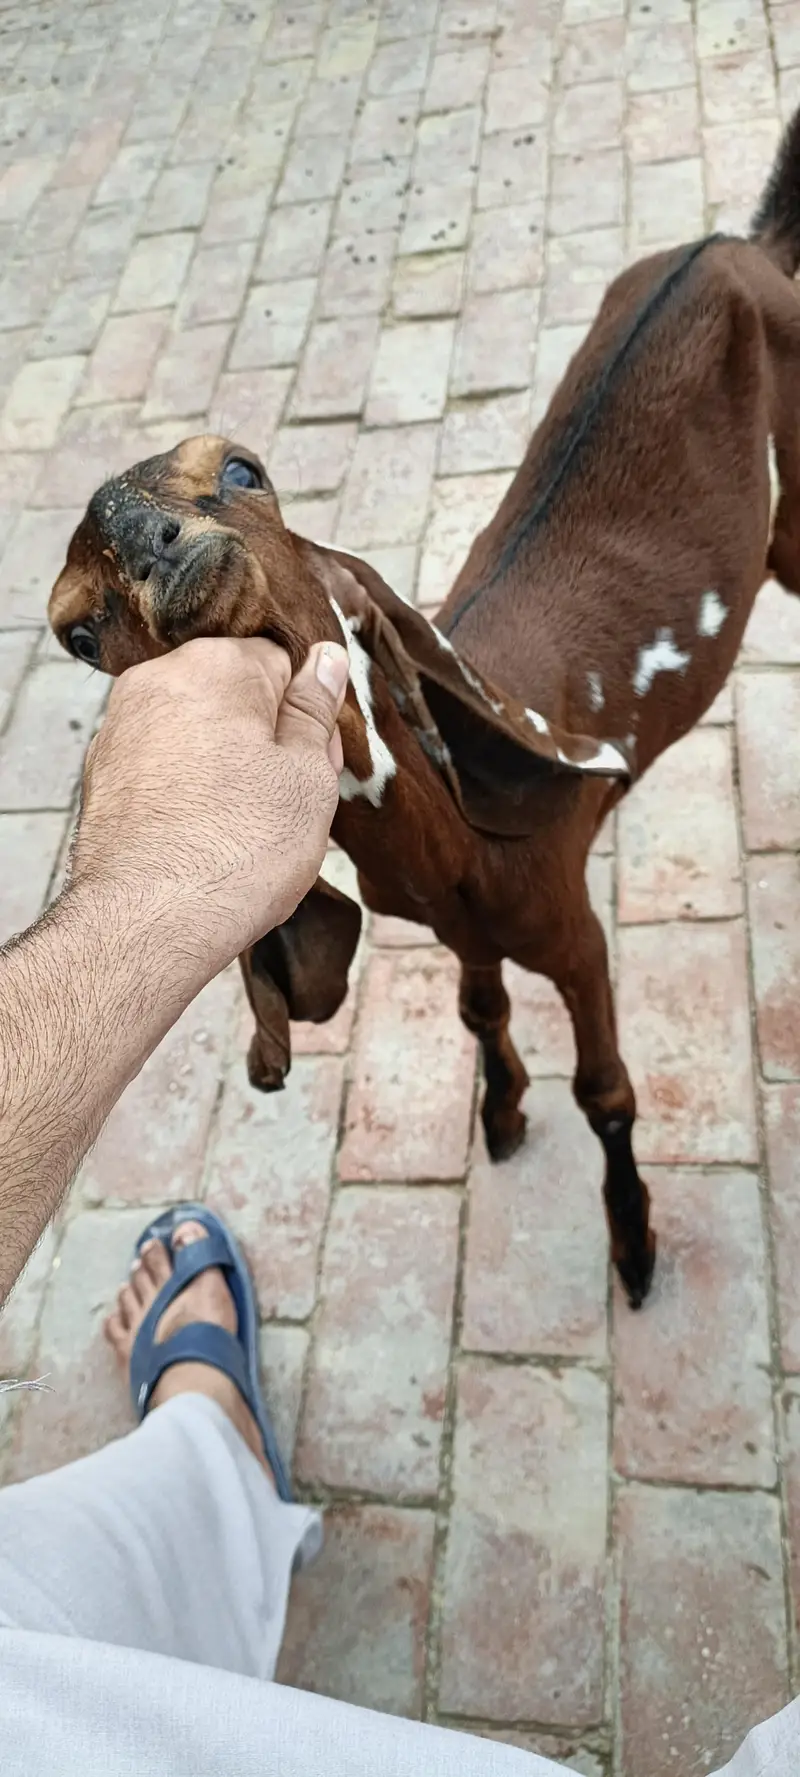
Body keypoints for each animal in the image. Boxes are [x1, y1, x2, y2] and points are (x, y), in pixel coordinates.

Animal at [48, 107, 800, 1309]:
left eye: (243, 469)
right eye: (77, 632)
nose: (149, 536)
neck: (458, 852)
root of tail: (729, 243)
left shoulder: (569, 923)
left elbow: (608, 1089)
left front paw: (633, 1244)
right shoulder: (459, 928)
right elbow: (476, 1008)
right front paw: (501, 1112)